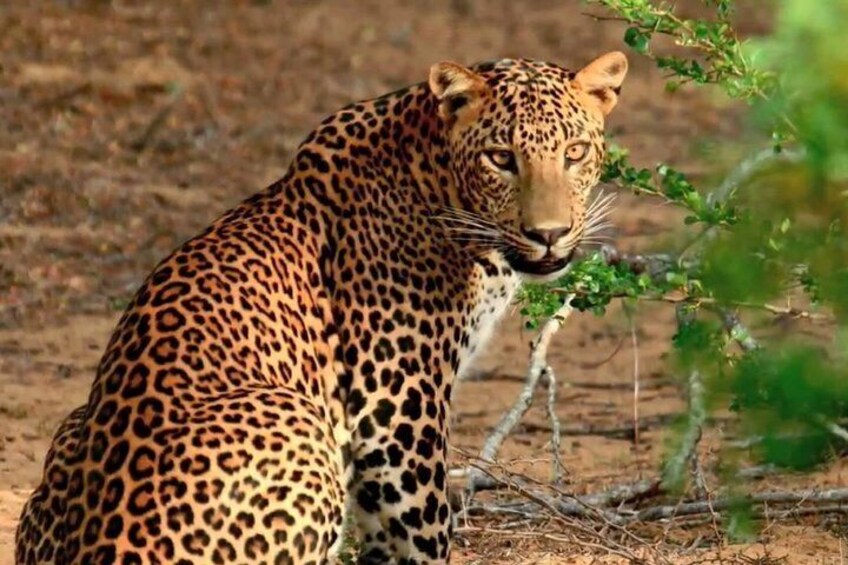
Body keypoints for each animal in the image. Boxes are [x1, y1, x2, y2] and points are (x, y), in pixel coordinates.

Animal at [11, 50, 624, 560]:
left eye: (574, 153)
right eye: (501, 158)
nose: (549, 234)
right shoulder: (396, 402)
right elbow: (424, 527)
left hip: (71, 424)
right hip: (300, 425)